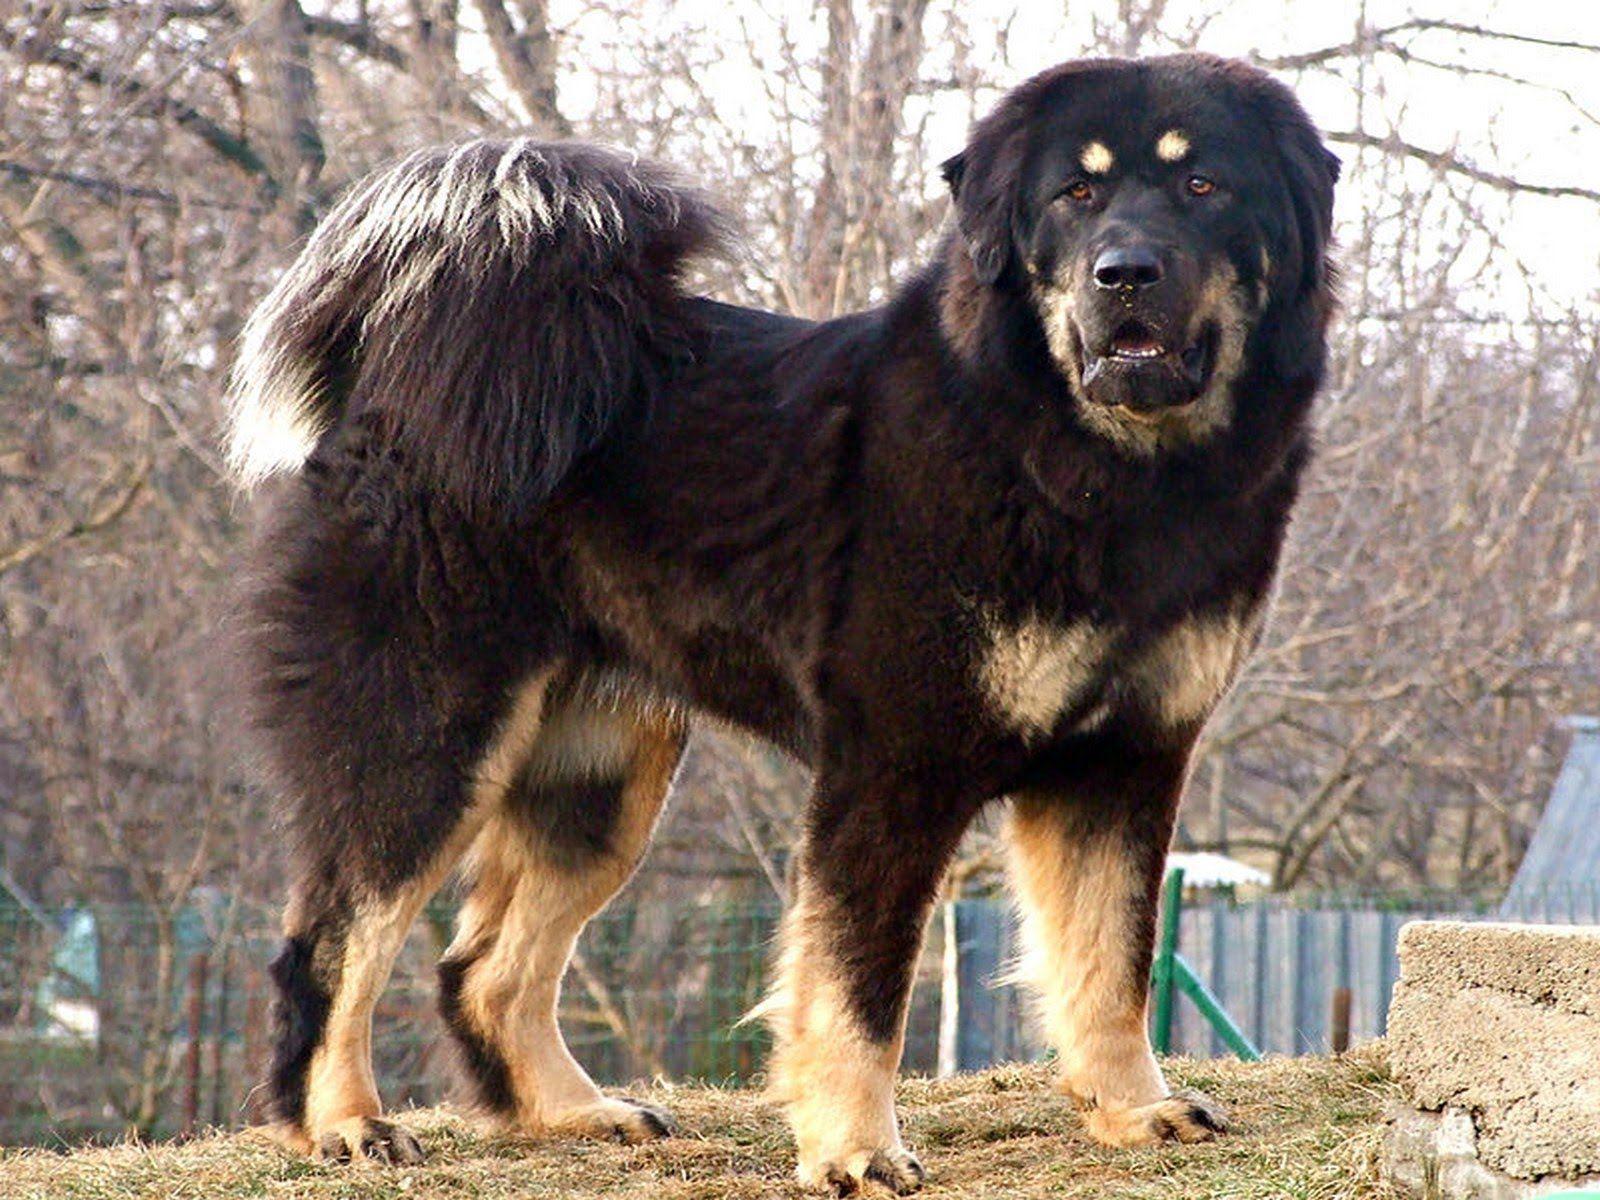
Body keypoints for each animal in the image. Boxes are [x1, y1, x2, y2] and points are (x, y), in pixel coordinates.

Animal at [228, 54, 1337, 1196]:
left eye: (1203, 186)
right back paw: (346, 1124)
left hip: (598, 777)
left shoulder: (1123, 761)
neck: (1100, 464)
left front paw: (1133, 1108)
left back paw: (575, 1115)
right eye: (1077, 193)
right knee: (330, 944)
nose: (1125, 271)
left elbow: (1112, 958)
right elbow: (857, 986)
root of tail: (403, 380)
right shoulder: (894, 764)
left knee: (483, 971)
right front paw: (854, 1149)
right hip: (427, 739)